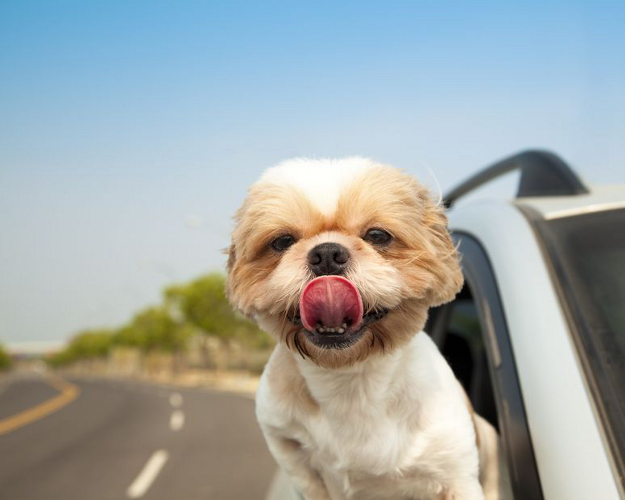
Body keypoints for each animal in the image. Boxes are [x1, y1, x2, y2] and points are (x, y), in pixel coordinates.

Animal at [227, 157, 500, 500]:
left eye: (378, 235)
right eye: (282, 241)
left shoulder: (455, 470)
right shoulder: (293, 456)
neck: (351, 382)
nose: (326, 254)